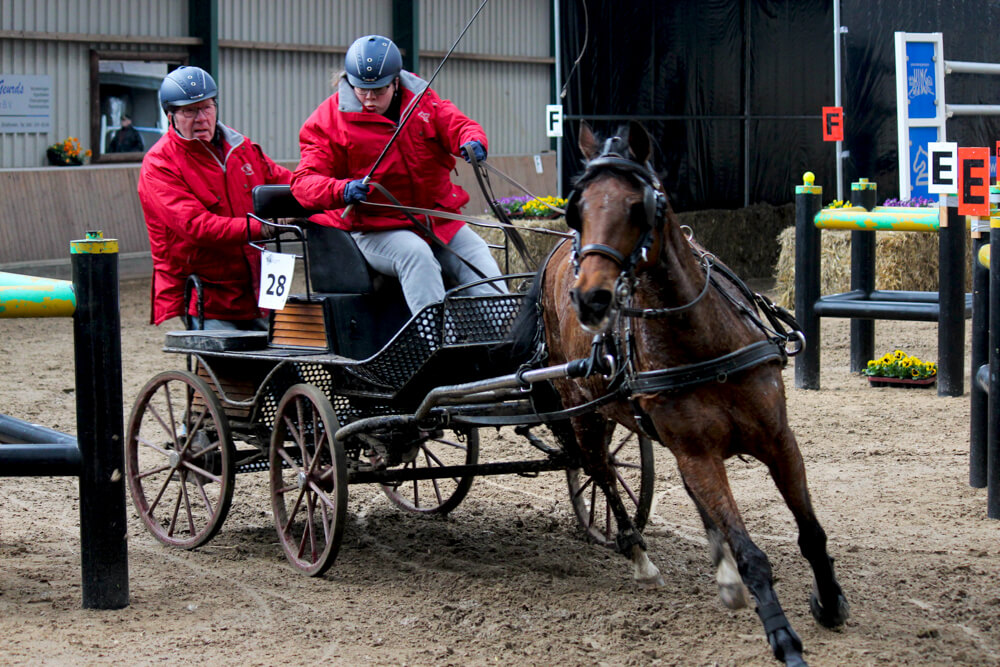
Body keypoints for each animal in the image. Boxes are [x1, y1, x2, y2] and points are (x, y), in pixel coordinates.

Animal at [512, 122, 848, 664]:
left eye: (641, 206)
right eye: (576, 207)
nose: (591, 298)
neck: (702, 339)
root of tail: (555, 257)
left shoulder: (779, 440)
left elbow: (811, 531)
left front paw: (831, 602)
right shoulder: (698, 453)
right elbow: (751, 553)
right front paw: (782, 636)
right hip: (581, 409)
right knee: (600, 470)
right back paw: (637, 553)